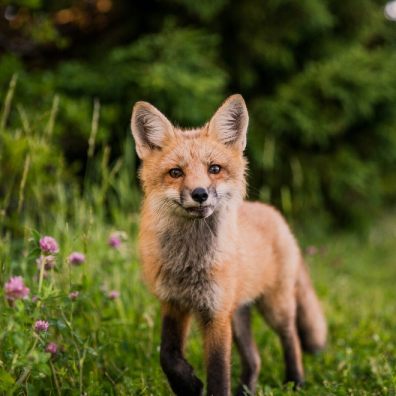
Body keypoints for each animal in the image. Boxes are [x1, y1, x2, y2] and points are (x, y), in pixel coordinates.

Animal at [131, 94, 326, 394]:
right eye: (175, 172)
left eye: (214, 169)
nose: (199, 193)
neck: (190, 263)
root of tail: (273, 213)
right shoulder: (174, 303)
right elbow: (167, 355)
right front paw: (188, 384)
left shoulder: (216, 314)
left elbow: (218, 373)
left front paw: (199, 385)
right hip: (239, 315)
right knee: (255, 359)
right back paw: (247, 389)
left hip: (275, 306)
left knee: (291, 336)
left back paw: (296, 380)